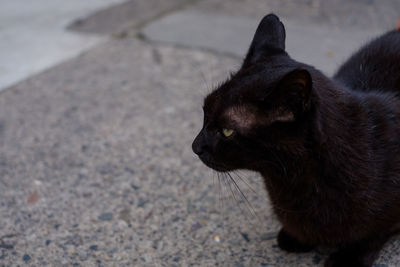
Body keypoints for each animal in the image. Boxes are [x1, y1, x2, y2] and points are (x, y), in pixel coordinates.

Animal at [192, 14, 400, 267]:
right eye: (205, 112)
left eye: (227, 131)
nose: (195, 146)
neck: (290, 182)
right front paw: (295, 237)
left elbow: (375, 232)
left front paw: (349, 257)